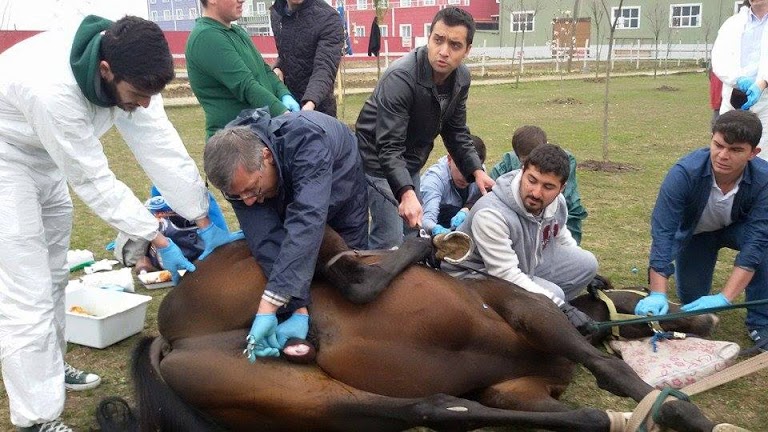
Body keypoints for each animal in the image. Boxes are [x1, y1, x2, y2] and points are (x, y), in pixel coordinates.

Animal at [99, 228, 728, 430]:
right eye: (636, 295)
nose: (703, 314)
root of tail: (170, 336)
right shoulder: (529, 312)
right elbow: (608, 372)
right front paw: (685, 414)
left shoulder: (514, 391)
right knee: (344, 274)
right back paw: (414, 246)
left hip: (296, 397)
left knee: (432, 408)